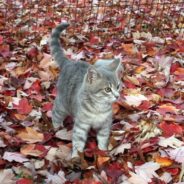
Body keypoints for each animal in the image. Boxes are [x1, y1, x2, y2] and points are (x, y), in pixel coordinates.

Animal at [49, 22, 121, 158]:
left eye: (118, 86)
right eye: (107, 89)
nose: (117, 96)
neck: (98, 108)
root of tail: (69, 63)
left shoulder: (105, 124)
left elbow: (103, 139)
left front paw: (103, 152)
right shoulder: (81, 125)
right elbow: (78, 141)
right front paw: (76, 157)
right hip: (62, 104)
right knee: (55, 112)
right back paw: (56, 127)